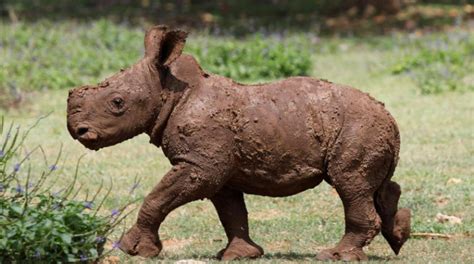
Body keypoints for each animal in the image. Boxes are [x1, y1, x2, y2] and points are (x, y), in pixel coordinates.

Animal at [66, 25, 412, 260]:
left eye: (117, 103)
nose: (77, 131)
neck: (170, 90)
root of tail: (390, 116)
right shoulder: (216, 167)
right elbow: (231, 211)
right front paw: (238, 255)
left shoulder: (201, 164)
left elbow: (158, 197)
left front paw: (133, 249)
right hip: (366, 128)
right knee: (373, 186)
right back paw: (398, 237)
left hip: (358, 126)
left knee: (349, 184)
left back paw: (336, 255)